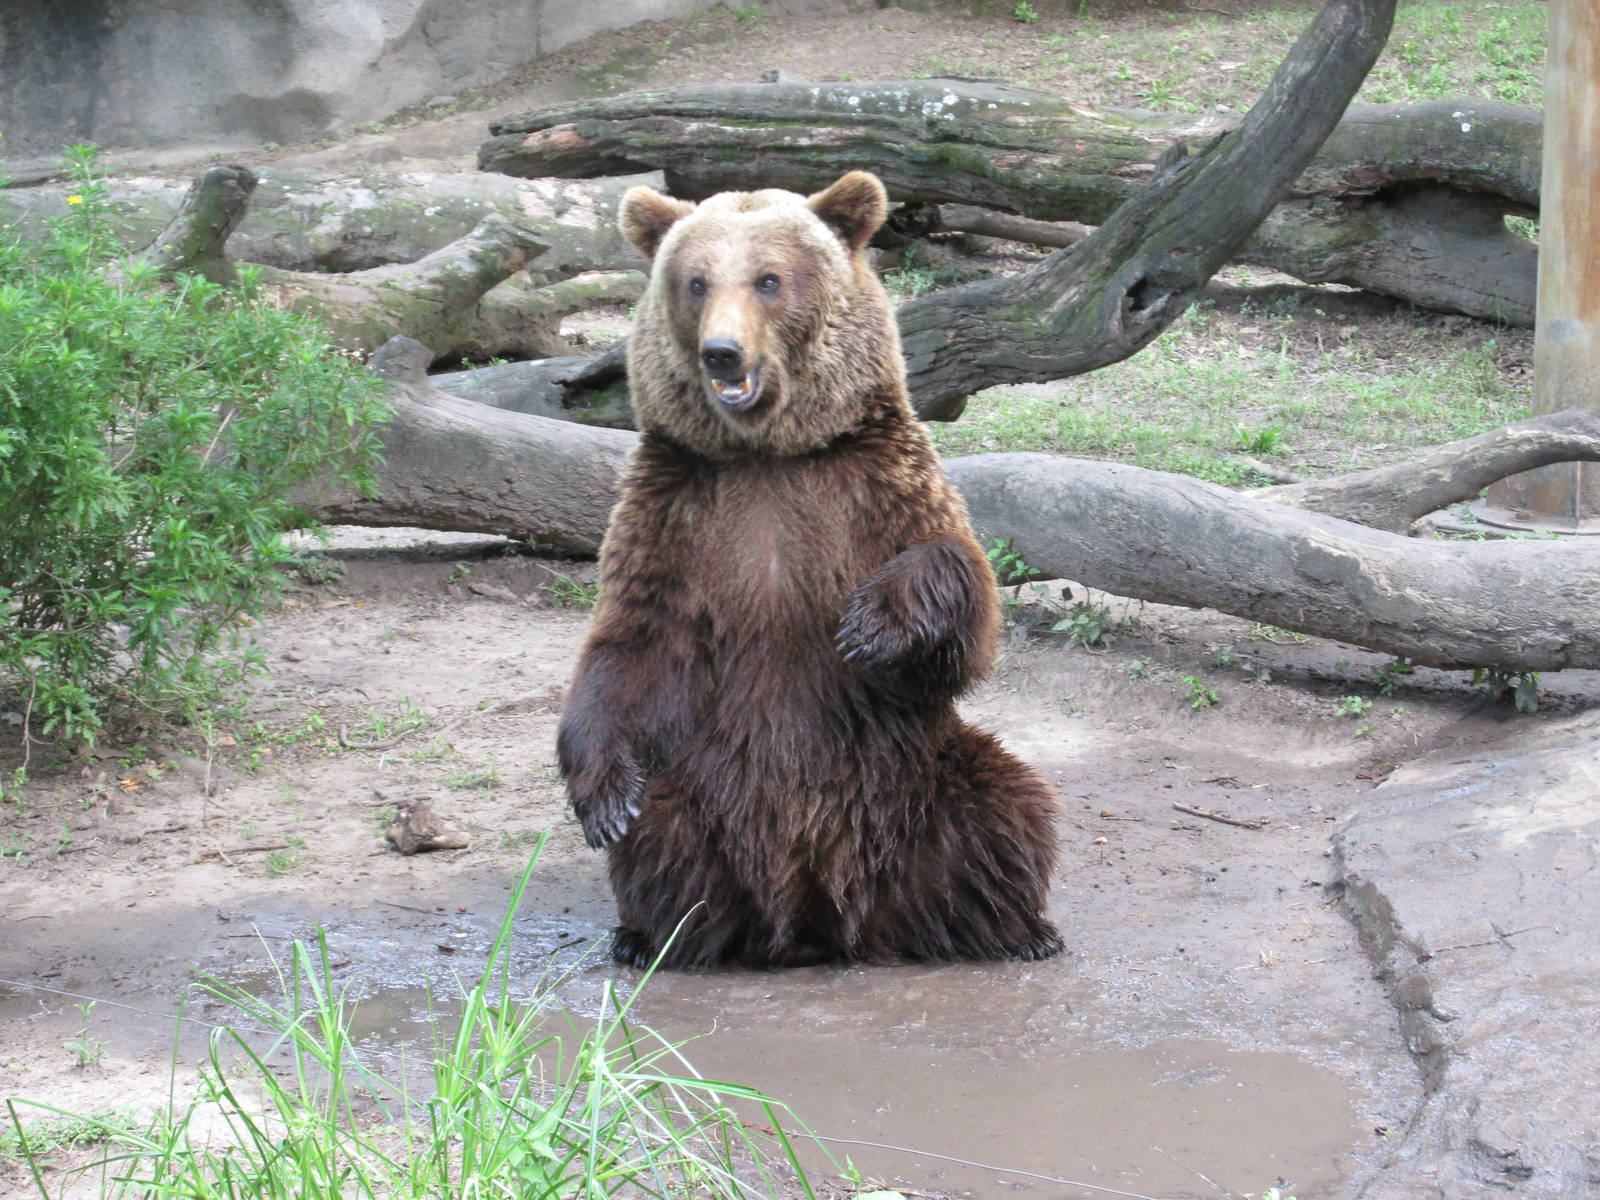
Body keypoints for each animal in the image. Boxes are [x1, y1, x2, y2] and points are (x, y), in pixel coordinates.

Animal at [556, 170, 1062, 969]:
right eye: (695, 281)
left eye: (769, 279)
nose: (722, 353)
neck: (767, 455)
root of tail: (821, 919)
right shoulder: (676, 511)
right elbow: (630, 646)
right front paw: (604, 799)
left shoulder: (871, 482)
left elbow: (966, 603)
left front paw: (871, 627)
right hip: (702, 785)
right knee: (660, 840)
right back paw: (653, 936)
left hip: (918, 776)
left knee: (1003, 807)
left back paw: (1017, 930)